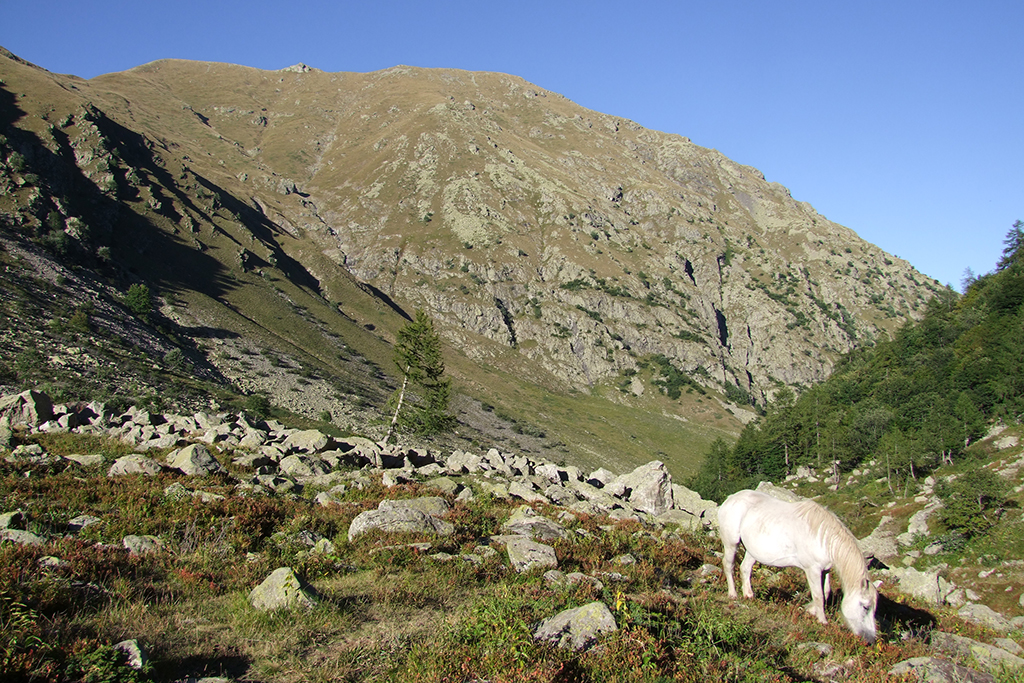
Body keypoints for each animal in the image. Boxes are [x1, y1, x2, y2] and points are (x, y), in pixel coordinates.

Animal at [716, 489, 876, 643]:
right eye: (865, 607)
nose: (871, 640)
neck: (822, 537)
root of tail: (731, 498)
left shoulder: (825, 570)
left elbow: (826, 591)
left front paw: (811, 610)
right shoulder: (812, 570)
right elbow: (818, 595)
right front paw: (822, 621)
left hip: (752, 551)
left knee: (745, 568)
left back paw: (748, 595)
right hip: (731, 544)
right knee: (729, 565)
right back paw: (733, 594)